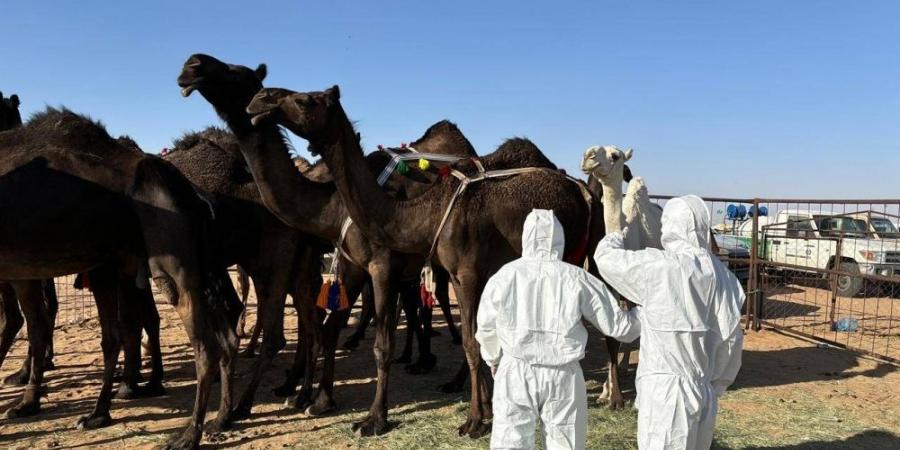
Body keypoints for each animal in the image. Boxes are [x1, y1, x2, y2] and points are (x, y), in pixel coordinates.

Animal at [0, 107, 243, 448]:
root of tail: (193, 195)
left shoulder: (20, 268)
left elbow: (32, 326)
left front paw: (24, 404)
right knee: (225, 334)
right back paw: (218, 418)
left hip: (171, 258)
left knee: (204, 343)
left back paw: (188, 435)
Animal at [178, 52, 478, 432]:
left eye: (236, 73)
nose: (191, 66)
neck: (334, 202)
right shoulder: (349, 263)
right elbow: (329, 325)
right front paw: (318, 399)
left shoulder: (381, 265)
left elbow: (377, 341)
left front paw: (374, 418)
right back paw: (426, 364)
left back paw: (449, 377)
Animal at [246, 84, 608, 436]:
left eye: (304, 100)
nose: (260, 101)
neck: (427, 212)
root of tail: (581, 190)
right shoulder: (445, 271)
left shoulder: (448, 270)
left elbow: (454, 341)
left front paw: (467, 421)